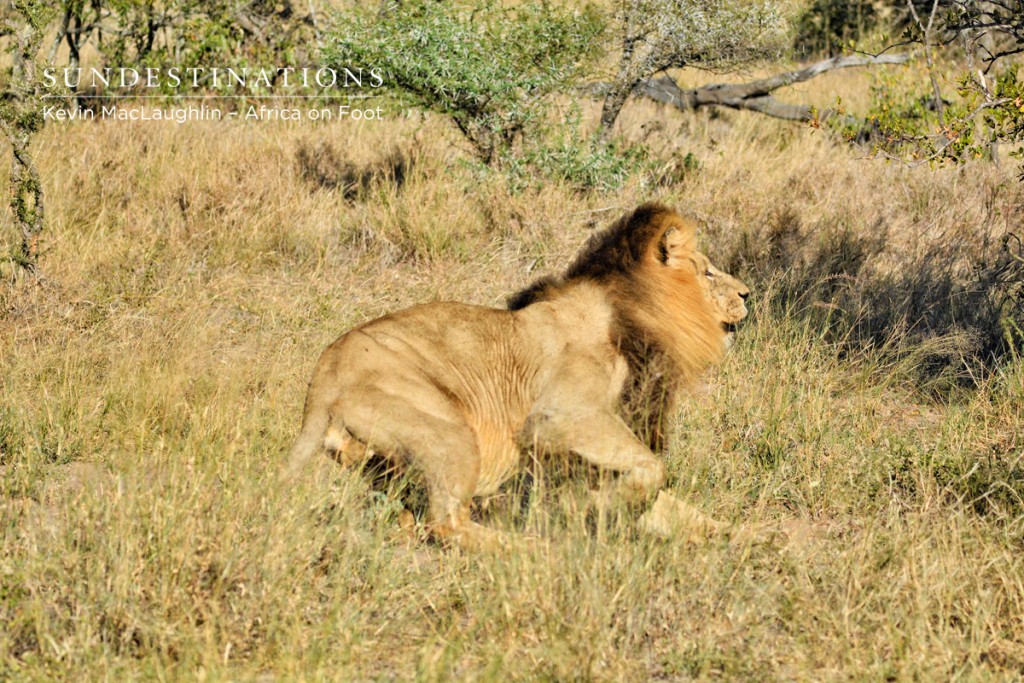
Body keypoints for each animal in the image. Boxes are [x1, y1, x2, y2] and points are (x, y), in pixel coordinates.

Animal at [284, 202, 749, 548]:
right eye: (708, 272)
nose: (748, 293)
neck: (630, 312)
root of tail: (321, 380)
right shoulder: (560, 416)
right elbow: (654, 470)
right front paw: (593, 511)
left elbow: (672, 503)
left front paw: (742, 535)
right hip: (450, 431)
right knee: (447, 523)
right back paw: (529, 548)